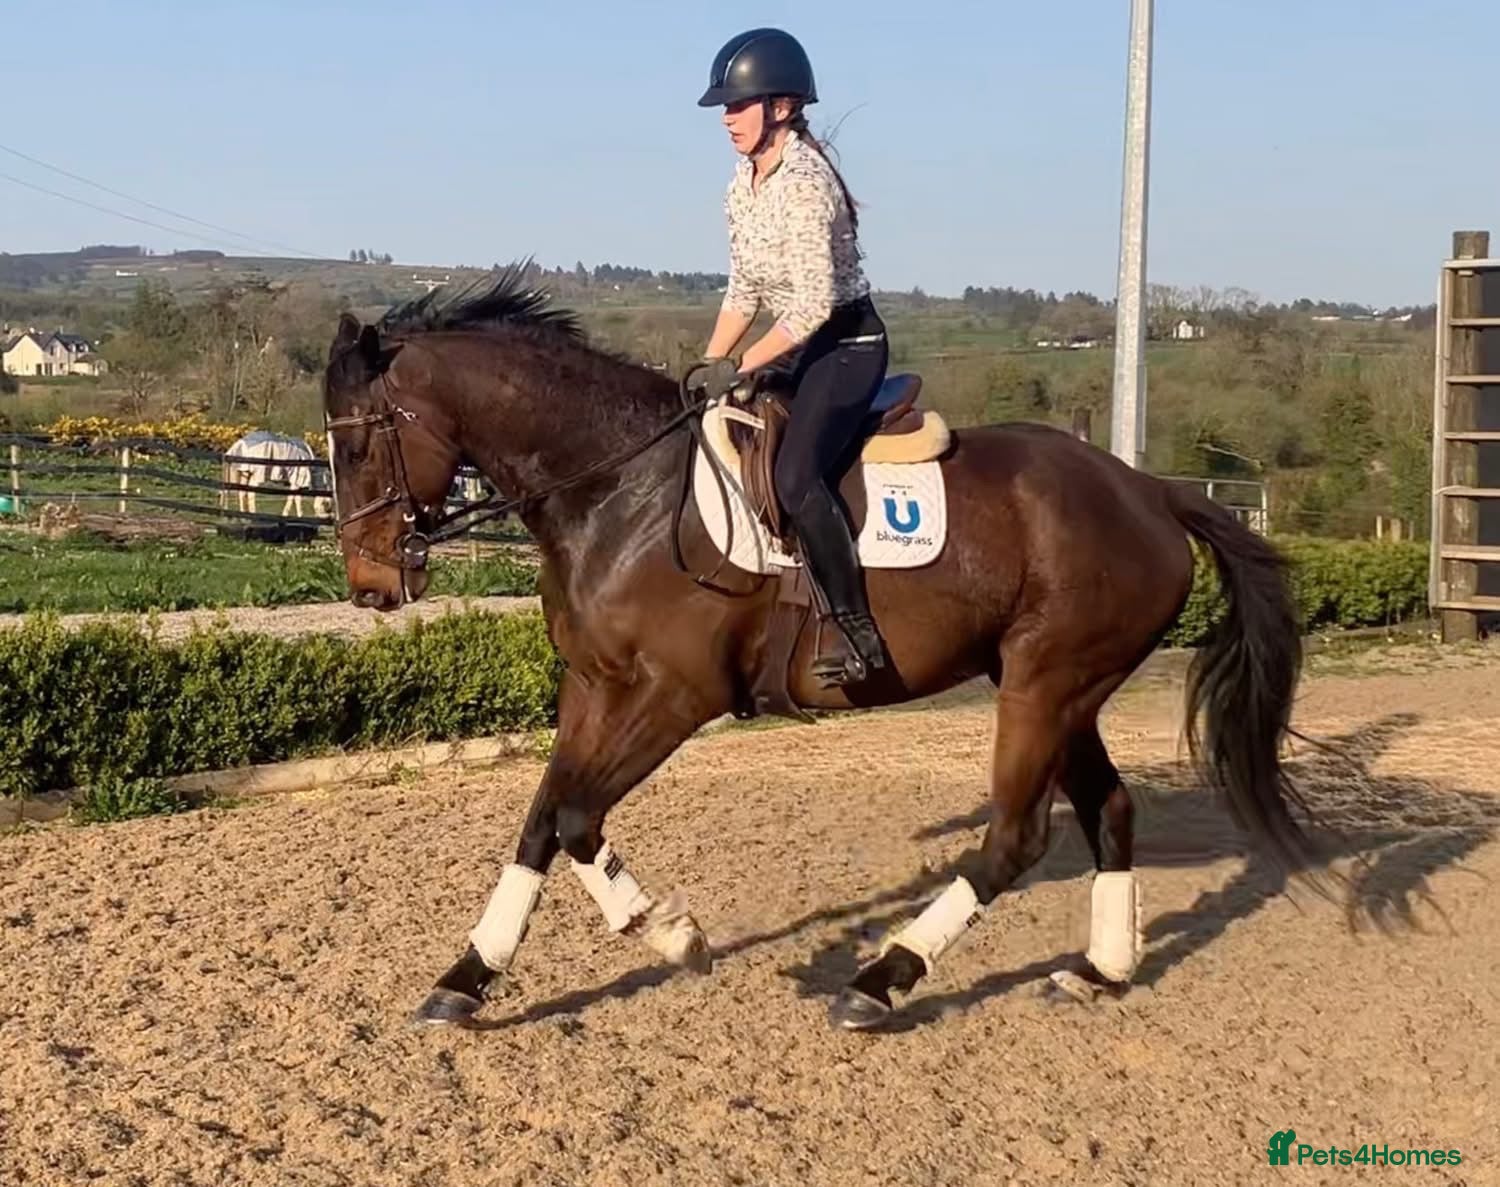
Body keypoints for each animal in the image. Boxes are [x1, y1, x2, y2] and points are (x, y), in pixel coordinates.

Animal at [322, 269, 1328, 1032]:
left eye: (362, 442)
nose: (370, 585)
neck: (618, 487)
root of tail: (1150, 492)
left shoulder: (677, 695)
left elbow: (574, 817)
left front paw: (672, 932)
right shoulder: (593, 686)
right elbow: (545, 818)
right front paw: (466, 977)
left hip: (1046, 685)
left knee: (1015, 835)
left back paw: (879, 981)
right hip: (1061, 689)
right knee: (1109, 811)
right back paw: (1100, 970)